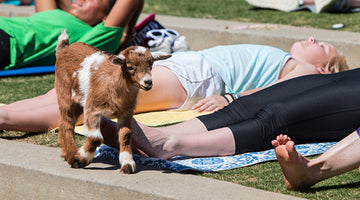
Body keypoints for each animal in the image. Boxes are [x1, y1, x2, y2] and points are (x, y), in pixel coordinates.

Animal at [54, 29, 171, 173]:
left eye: (151, 64)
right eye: (130, 67)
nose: (148, 82)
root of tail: (64, 49)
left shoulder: (126, 113)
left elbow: (126, 135)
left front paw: (127, 164)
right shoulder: (92, 108)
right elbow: (95, 138)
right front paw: (80, 158)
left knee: (63, 123)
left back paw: (66, 153)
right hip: (65, 95)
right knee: (67, 123)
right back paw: (71, 154)